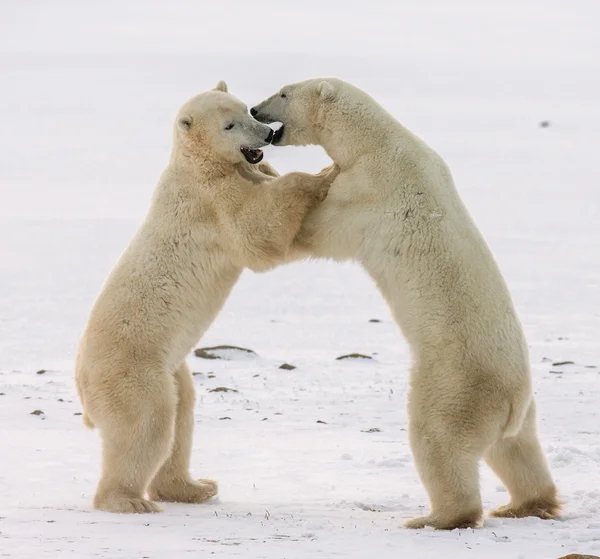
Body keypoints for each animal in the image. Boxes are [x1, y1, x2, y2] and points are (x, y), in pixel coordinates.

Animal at [74, 81, 338, 516]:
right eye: (229, 125)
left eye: (246, 110)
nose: (265, 135)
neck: (196, 165)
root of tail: (82, 383)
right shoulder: (211, 204)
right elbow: (258, 233)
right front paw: (320, 175)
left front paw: (278, 171)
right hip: (134, 372)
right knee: (147, 424)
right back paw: (128, 500)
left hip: (172, 371)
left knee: (182, 417)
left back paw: (194, 487)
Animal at [251, 77, 560, 528]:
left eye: (284, 93)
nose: (254, 109)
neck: (376, 141)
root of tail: (512, 399)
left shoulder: (368, 192)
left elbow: (316, 229)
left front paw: (309, 179)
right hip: (523, 410)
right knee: (519, 450)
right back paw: (526, 503)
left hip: (453, 385)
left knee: (438, 439)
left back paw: (435, 517)